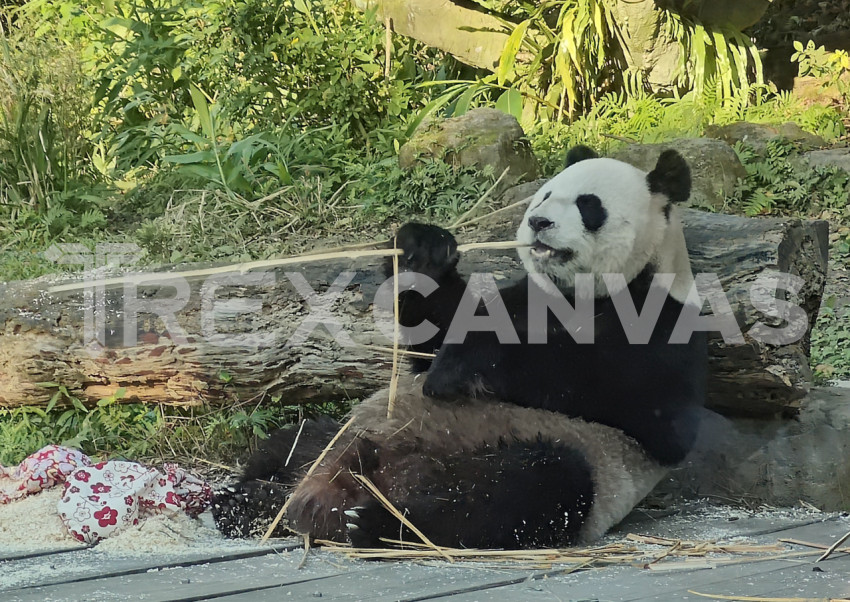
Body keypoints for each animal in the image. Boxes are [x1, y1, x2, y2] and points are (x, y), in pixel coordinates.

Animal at [214, 146, 708, 548]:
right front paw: (422, 249)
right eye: (545, 196)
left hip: (554, 460)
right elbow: (436, 333)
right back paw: (245, 500)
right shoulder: (520, 294)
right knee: (296, 440)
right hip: (348, 432)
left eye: (589, 206)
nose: (538, 222)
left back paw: (379, 523)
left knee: (524, 491)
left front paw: (464, 365)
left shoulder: (665, 327)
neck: (576, 293)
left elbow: (645, 407)